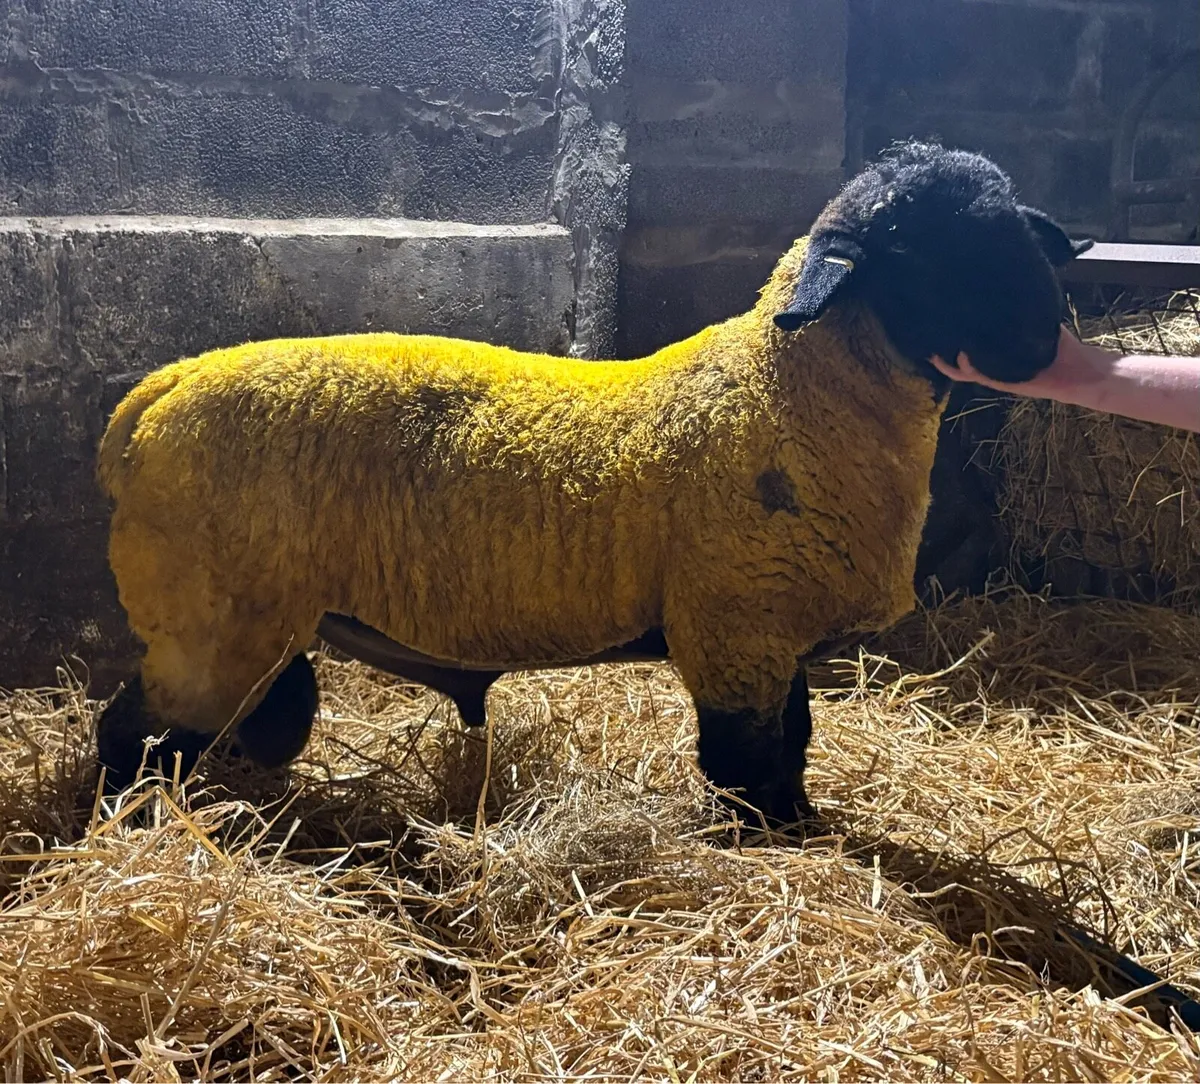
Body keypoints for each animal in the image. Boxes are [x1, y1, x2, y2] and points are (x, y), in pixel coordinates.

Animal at [94, 141, 1092, 822]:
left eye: (1012, 227)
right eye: (917, 251)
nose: (1044, 340)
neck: (782, 394)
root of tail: (160, 389)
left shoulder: (775, 642)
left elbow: (794, 749)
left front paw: (808, 831)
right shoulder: (734, 634)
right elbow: (750, 770)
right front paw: (776, 847)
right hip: (206, 619)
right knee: (132, 737)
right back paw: (135, 832)